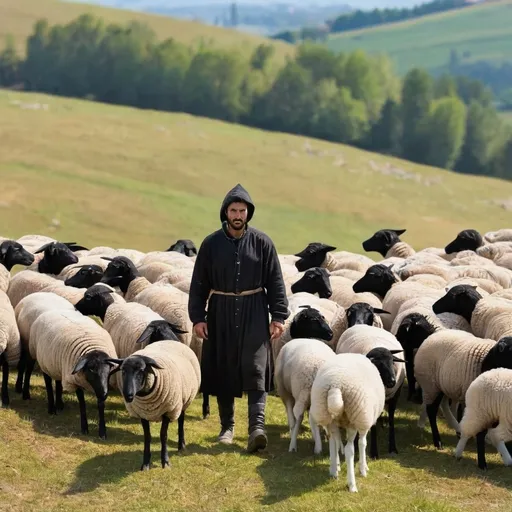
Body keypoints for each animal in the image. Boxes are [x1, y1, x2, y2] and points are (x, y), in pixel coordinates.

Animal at [27, 306, 119, 438]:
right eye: (91, 368)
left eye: (109, 369)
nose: (104, 393)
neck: (91, 347)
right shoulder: (75, 381)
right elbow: (82, 403)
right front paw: (84, 428)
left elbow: (101, 405)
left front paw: (102, 432)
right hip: (44, 362)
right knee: (48, 383)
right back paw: (52, 409)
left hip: (58, 365)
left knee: (58, 381)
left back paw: (59, 405)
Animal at [107, 340, 201, 472]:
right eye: (123, 371)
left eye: (141, 370)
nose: (128, 395)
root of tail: (171, 340)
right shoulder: (143, 413)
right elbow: (147, 437)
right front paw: (146, 463)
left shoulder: (167, 411)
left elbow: (163, 436)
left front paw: (165, 462)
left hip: (183, 401)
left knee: (181, 422)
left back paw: (181, 446)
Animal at [308, 352, 384, 492]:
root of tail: (335, 384)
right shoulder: (362, 422)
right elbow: (362, 443)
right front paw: (363, 469)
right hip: (353, 418)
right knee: (349, 449)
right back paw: (352, 485)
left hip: (328, 417)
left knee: (332, 441)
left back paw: (333, 471)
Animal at [336, 324, 404, 456]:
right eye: (379, 364)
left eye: (392, 361)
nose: (392, 381)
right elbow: (373, 425)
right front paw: (373, 452)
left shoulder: (395, 396)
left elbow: (392, 420)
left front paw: (393, 448)